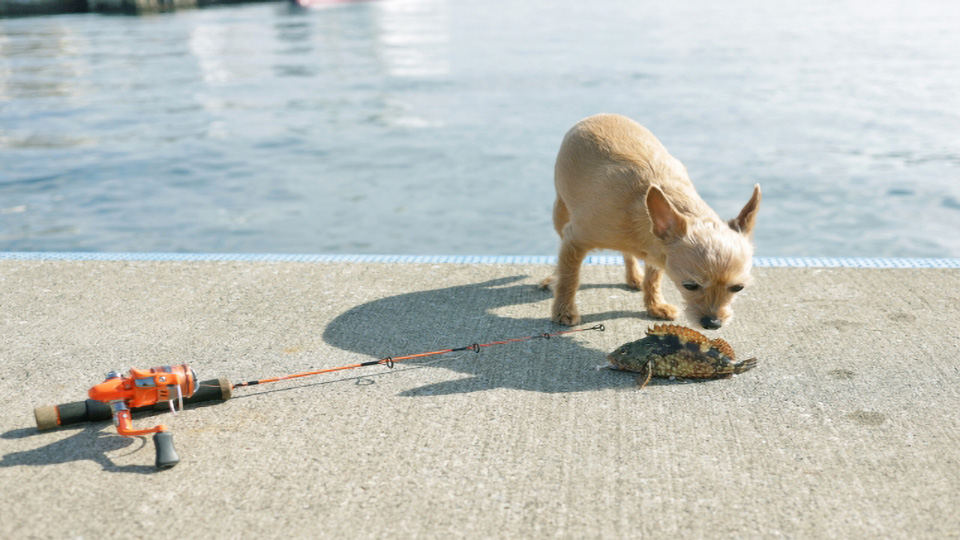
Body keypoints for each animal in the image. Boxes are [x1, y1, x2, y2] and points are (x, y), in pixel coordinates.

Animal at [544, 114, 760, 330]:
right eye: (689, 285)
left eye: (738, 288)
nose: (713, 323)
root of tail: (600, 115)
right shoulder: (574, 240)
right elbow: (569, 276)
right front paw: (564, 310)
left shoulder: (658, 250)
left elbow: (653, 277)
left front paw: (655, 305)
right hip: (560, 212)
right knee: (563, 255)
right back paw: (553, 278)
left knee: (628, 254)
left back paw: (634, 276)